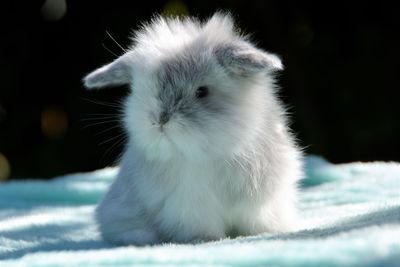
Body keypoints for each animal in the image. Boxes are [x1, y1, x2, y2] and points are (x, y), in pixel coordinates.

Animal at [84, 12, 304, 247]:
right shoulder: (189, 204)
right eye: (142, 90)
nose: (160, 120)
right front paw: (204, 239)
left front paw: (262, 233)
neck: (211, 152)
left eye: (202, 91)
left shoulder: (261, 203)